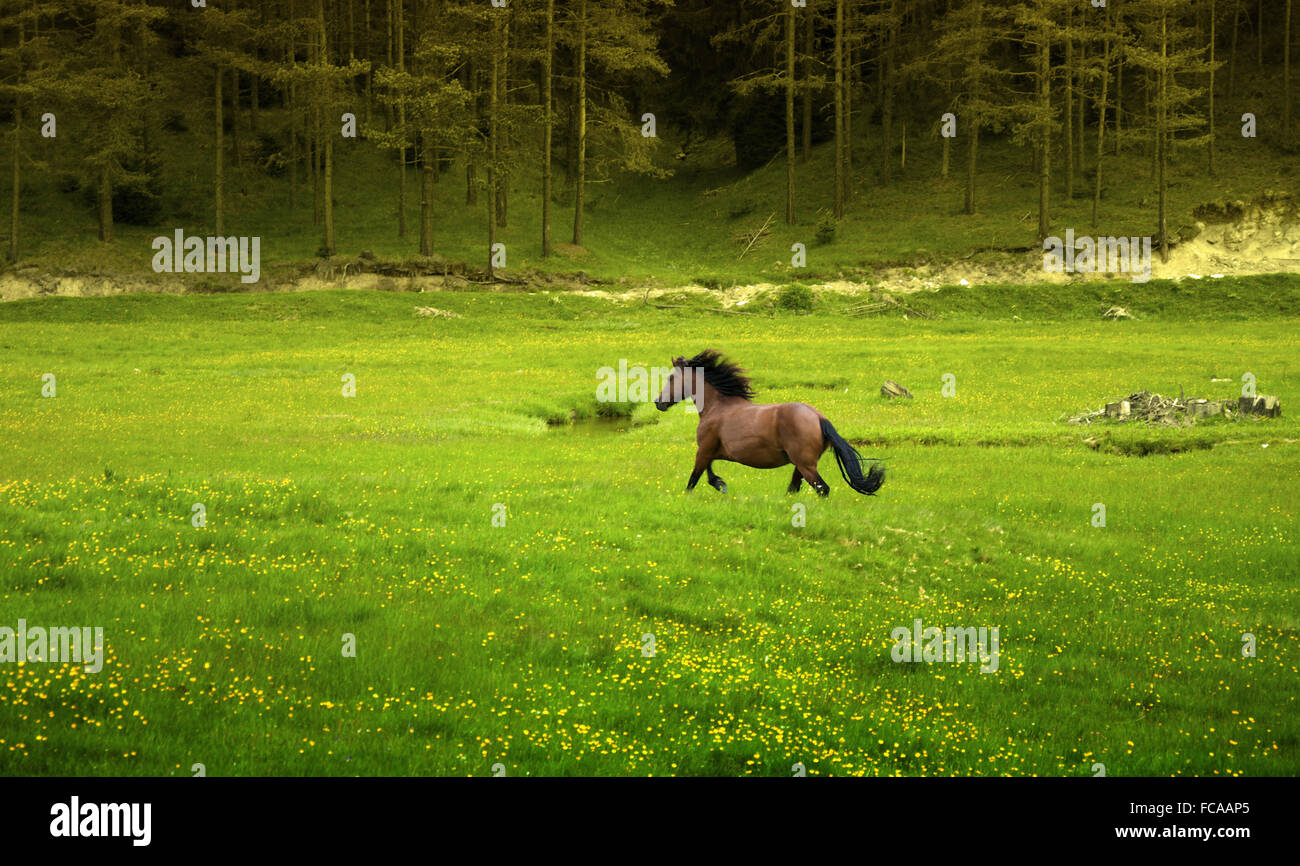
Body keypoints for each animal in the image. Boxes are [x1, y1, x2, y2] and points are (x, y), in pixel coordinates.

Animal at [655, 348, 889, 496]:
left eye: (670, 378)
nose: (658, 402)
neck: (717, 406)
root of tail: (819, 418)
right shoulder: (713, 451)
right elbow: (709, 472)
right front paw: (720, 484)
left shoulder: (703, 449)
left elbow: (693, 479)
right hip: (801, 465)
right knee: (794, 489)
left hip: (806, 465)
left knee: (822, 489)